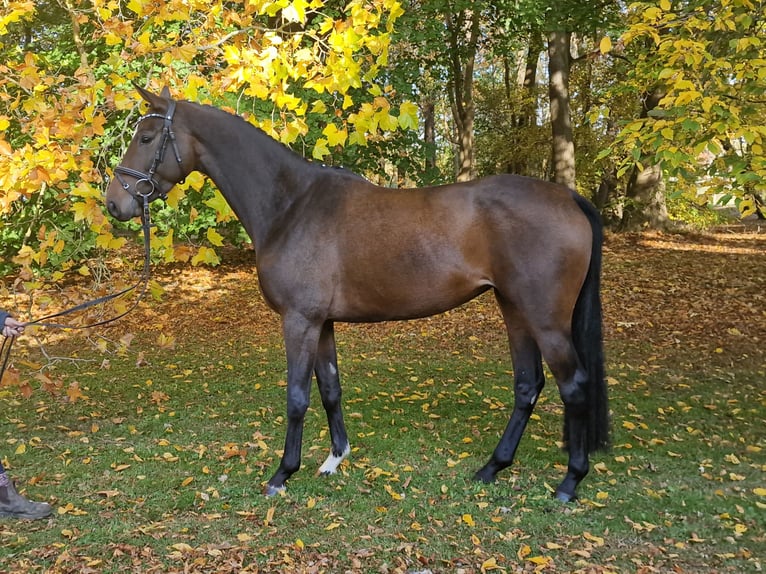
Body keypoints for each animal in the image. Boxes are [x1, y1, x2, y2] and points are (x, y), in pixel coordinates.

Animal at [106, 86, 612, 504]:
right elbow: (330, 388)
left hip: (545, 319)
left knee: (573, 385)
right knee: (528, 386)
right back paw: (491, 468)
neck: (291, 205)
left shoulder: (299, 320)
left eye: (147, 137)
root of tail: (569, 199)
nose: (115, 202)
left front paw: (281, 475)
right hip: (514, 309)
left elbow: (297, 396)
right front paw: (334, 459)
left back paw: (569, 483)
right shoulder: (322, 322)